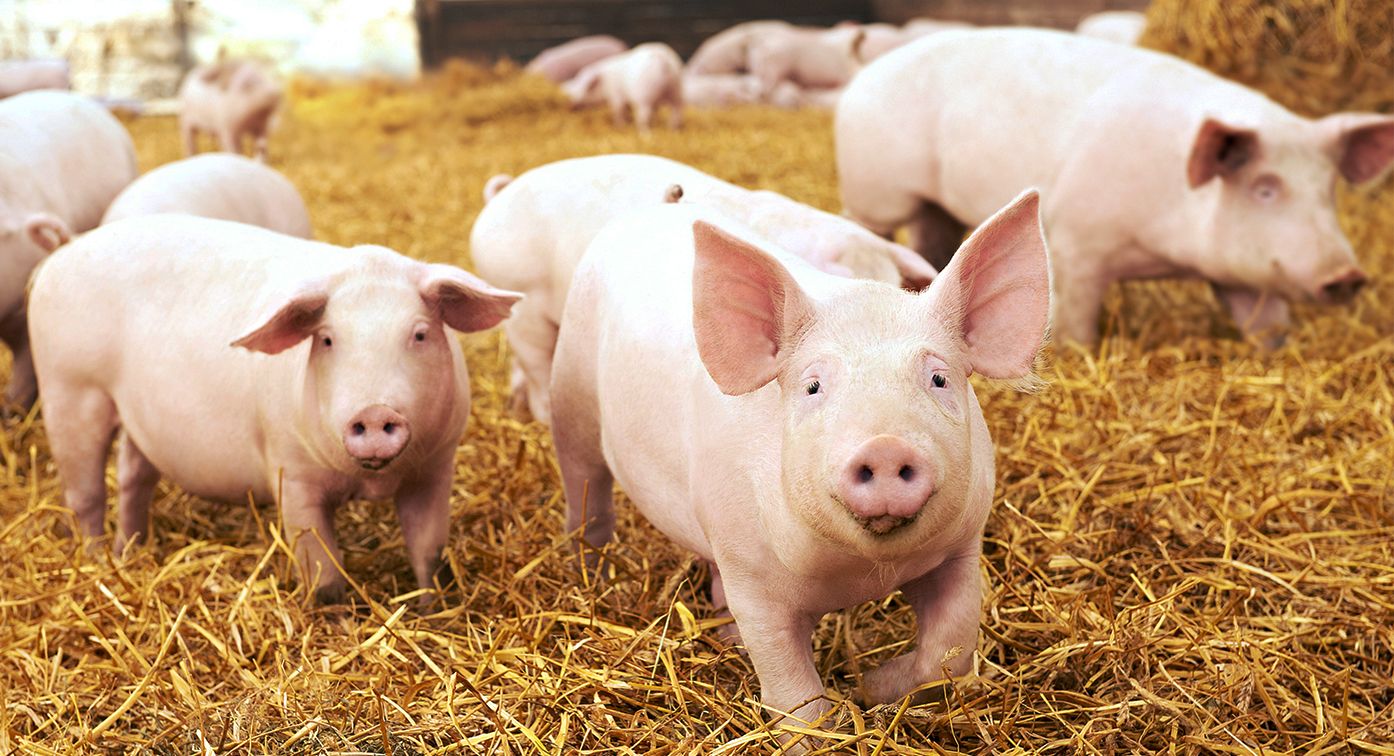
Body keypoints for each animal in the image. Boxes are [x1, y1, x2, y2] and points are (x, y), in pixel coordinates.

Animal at [28, 215, 521, 602]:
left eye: (419, 333)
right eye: (327, 339)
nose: (374, 412)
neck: (370, 482)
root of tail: (67, 247)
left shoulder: (436, 467)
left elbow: (429, 553)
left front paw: (434, 612)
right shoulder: (290, 472)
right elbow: (324, 574)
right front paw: (338, 624)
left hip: (138, 416)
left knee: (134, 476)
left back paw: (128, 552)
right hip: (69, 389)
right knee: (86, 493)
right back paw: (96, 561)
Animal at [549, 191, 1050, 739]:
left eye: (938, 378)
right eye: (813, 386)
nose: (885, 445)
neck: (861, 575)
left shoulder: (962, 546)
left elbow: (949, 652)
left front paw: (870, 686)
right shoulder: (754, 582)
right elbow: (795, 696)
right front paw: (824, 722)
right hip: (571, 398)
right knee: (587, 497)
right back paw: (589, 573)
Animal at [836, 28, 1394, 348]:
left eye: (1329, 188)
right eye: (1264, 188)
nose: (1347, 275)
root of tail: (868, 70)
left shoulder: (1240, 274)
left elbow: (1266, 323)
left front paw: (1275, 351)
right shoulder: (1077, 243)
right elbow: (1076, 323)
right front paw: (1075, 352)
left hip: (935, 206)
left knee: (932, 239)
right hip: (873, 192)